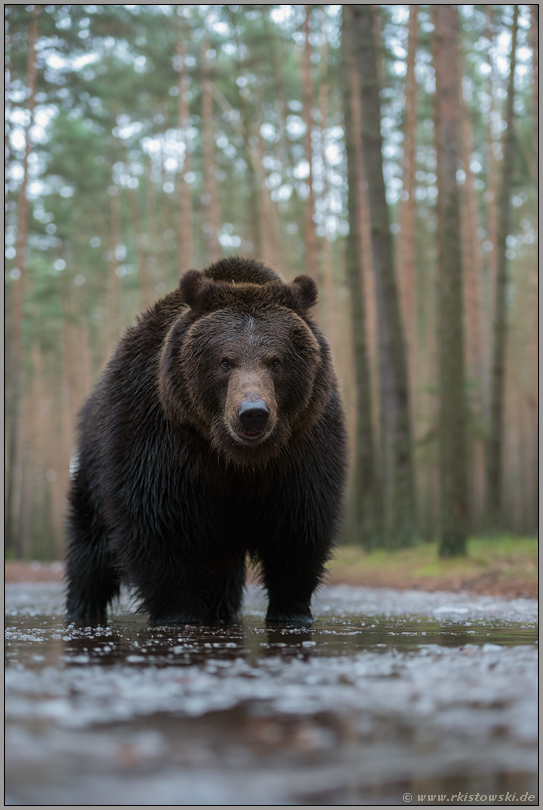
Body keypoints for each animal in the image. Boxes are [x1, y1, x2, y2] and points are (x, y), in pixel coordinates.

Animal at [66, 258, 348, 624]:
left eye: (276, 361)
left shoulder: (303, 445)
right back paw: (84, 609)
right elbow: (160, 525)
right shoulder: (159, 438)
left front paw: (292, 611)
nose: (252, 413)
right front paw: (177, 613)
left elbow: (299, 526)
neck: (235, 457)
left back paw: (220, 609)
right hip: (94, 466)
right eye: (225, 361)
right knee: (91, 548)